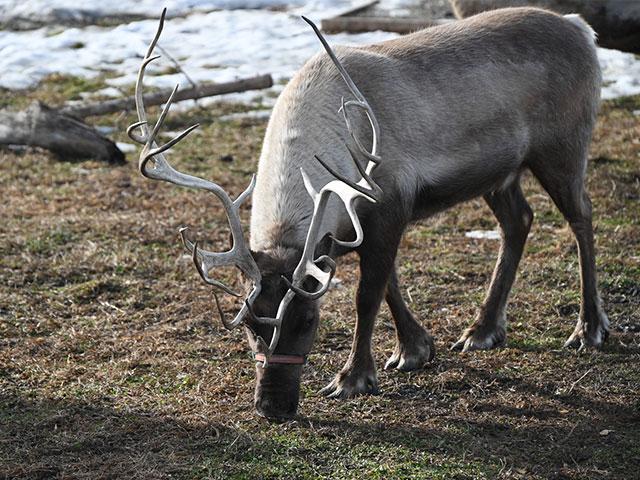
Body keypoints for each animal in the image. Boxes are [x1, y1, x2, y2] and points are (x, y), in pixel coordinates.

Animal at [128, 7, 609, 419]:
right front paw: (416, 348)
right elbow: (389, 283)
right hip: (499, 173)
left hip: (563, 148)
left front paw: (354, 377)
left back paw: (589, 328)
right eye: (248, 322)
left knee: (582, 218)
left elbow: (368, 294)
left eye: (309, 319)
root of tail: (581, 28)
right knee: (519, 221)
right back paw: (483, 329)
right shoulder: (356, 225)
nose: (271, 408)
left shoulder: (388, 205)